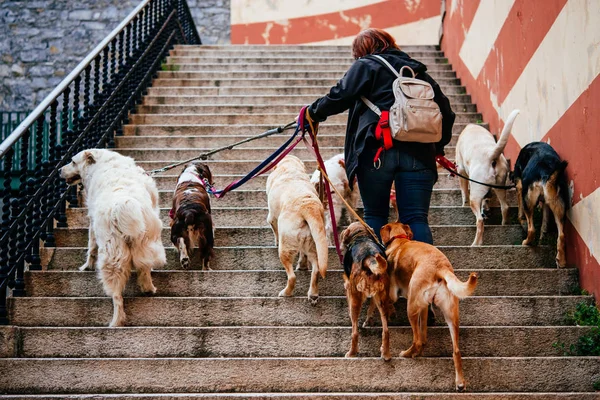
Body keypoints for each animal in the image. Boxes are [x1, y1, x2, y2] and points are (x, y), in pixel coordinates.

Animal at [59, 148, 165, 326]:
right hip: (144, 241)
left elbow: (91, 246)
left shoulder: (92, 219)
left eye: (73, 162)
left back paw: (116, 321)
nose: (60, 170)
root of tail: (121, 205)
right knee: (144, 268)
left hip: (112, 255)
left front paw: (86, 266)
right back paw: (148, 289)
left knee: (116, 295)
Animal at [266, 155, 328, 304]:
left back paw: (286, 292)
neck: (290, 167)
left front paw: (275, 241)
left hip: (285, 248)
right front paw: (302, 264)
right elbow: (302, 254)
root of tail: (308, 206)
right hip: (314, 243)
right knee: (316, 269)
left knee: (292, 276)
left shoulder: (272, 217)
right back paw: (313, 294)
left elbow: (274, 229)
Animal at [340, 223, 396, 360]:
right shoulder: (375, 297)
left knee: (355, 332)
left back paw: (351, 353)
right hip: (382, 299)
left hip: (355, 299)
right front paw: (368, 320)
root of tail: (369, 257)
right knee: (386, 331)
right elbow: (371, 308)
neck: (361, 236)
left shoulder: (348, 288)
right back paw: (385, 353)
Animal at [380, 223, 478, 392]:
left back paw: (407, 353)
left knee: (417, 339)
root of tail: (441, 267)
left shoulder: (392, 293)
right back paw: (459, 382)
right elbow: (423, 327)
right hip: (451, 315)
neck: (400, 240)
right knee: (452, 349)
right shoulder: (424, 307)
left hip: (411, 307)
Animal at [458, 110, 516, 247]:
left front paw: (463, 204)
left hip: (475, 195)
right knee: (505, 207)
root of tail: (491, 155)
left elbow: (464, 192)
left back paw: (476, 244)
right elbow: (486, 198)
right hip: (500, 187)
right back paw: (504, 225)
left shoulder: (461, 170)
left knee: (479, 221)